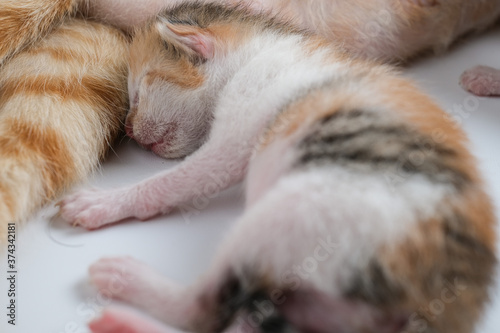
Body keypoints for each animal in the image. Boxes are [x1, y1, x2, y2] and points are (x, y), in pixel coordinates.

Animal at [60, 2, 498, 332]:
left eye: (138, 90)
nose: (129, 131)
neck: (259, 48)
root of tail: (450, 297)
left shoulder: (239, 125)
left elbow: (177, 179)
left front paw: (102, 202)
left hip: (293, 212)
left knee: (201, 308)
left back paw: (122, 284)